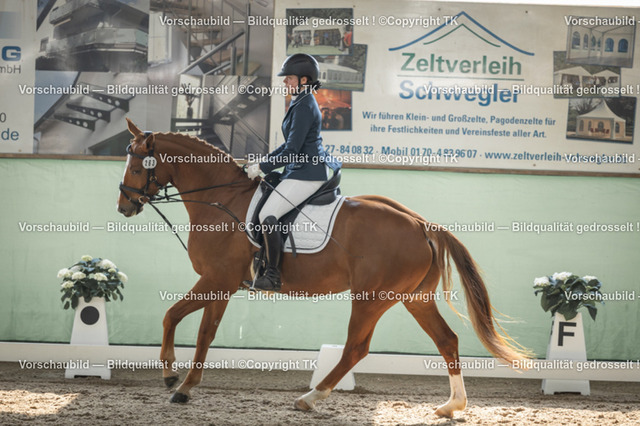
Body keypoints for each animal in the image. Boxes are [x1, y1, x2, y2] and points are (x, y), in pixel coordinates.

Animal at [117, 118, 529, 418]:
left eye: (136, 166)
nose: (124, 206)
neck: (221, 198)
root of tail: (421, 224)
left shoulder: (217, 279)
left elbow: (186, 324)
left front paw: (177, 380)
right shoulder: (222, 283)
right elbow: (189, 325)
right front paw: (178, 381)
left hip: (371, 298)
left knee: (356, 348)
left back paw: (310, 398)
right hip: (415, 298)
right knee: (447, 340)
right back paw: (451, 405)